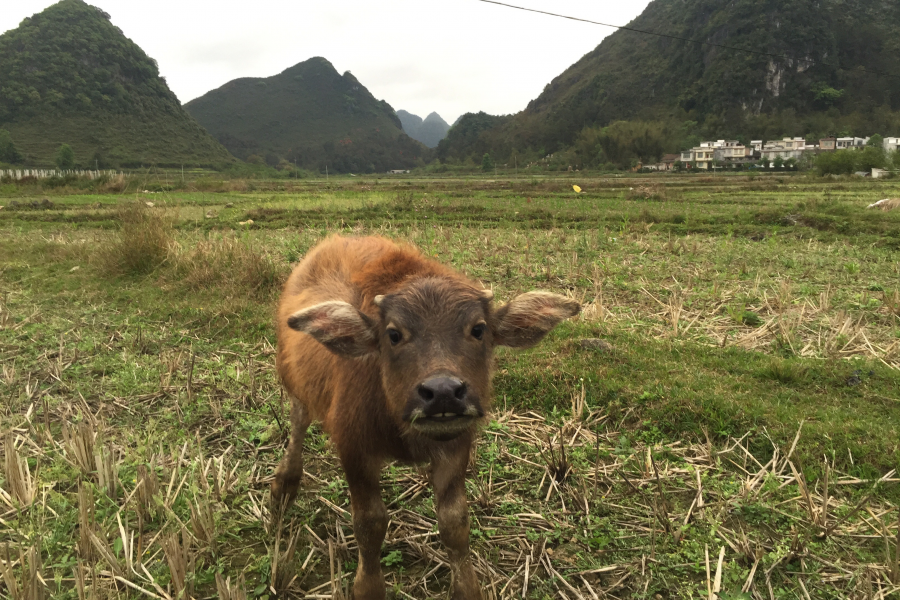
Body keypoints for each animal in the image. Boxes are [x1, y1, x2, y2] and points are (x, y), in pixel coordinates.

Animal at [272, 236, 576, 600]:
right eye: (393, 334)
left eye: (478, 329)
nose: (443, 392)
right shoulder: (354, 449)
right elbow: (369, 524)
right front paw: (368, 587)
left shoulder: (455, 447)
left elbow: (454, 523)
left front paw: (467, 588)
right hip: (294, 382)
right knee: (298, 422)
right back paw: (284, 485)